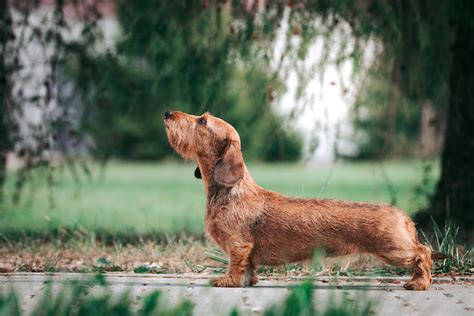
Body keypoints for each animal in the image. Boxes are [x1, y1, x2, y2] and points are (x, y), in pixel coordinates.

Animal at [163, 110, 444, 290]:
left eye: (202, 121)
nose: (167, 113)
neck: (230, 190)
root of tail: (402, 215)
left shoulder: (238, 245)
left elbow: (235, 265)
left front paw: (226, 281)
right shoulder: (247, 251)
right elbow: (248, 269)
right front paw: (246, 282)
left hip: (395, 250)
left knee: (423, 252)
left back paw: (418, 283)